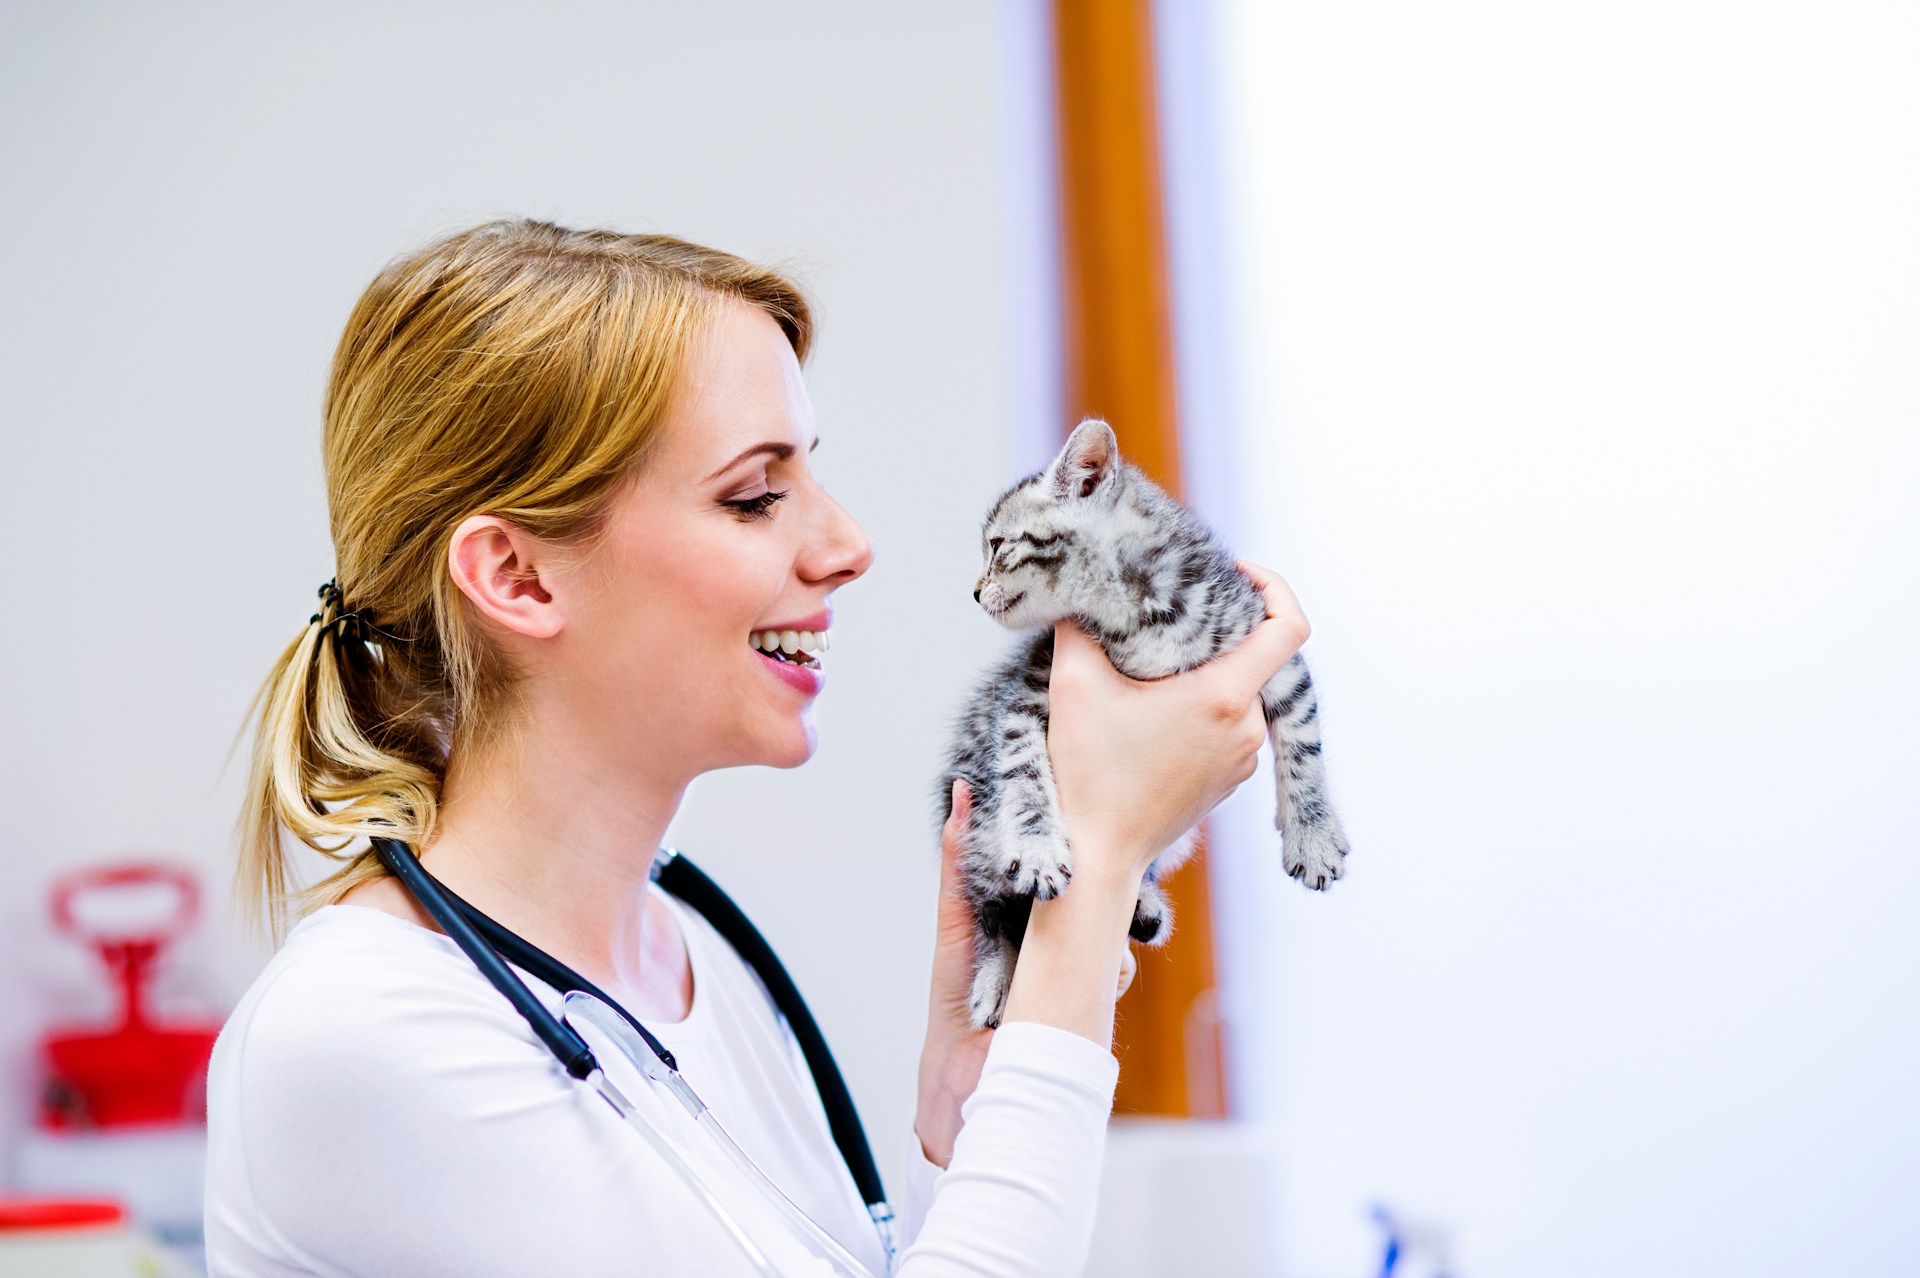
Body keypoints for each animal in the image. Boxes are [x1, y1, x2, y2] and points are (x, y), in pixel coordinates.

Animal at [936, 418, 1344, 1028]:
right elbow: (1023, 773)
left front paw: (1314, 834)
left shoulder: (1269, 648)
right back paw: (998, 973)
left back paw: (1145, 907)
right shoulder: (1028, 688)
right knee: (992, 902)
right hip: (974, 808)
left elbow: (1303, 744)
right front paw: (1037, 848)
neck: (1136, 611)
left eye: (998, 546)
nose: (975, 592)